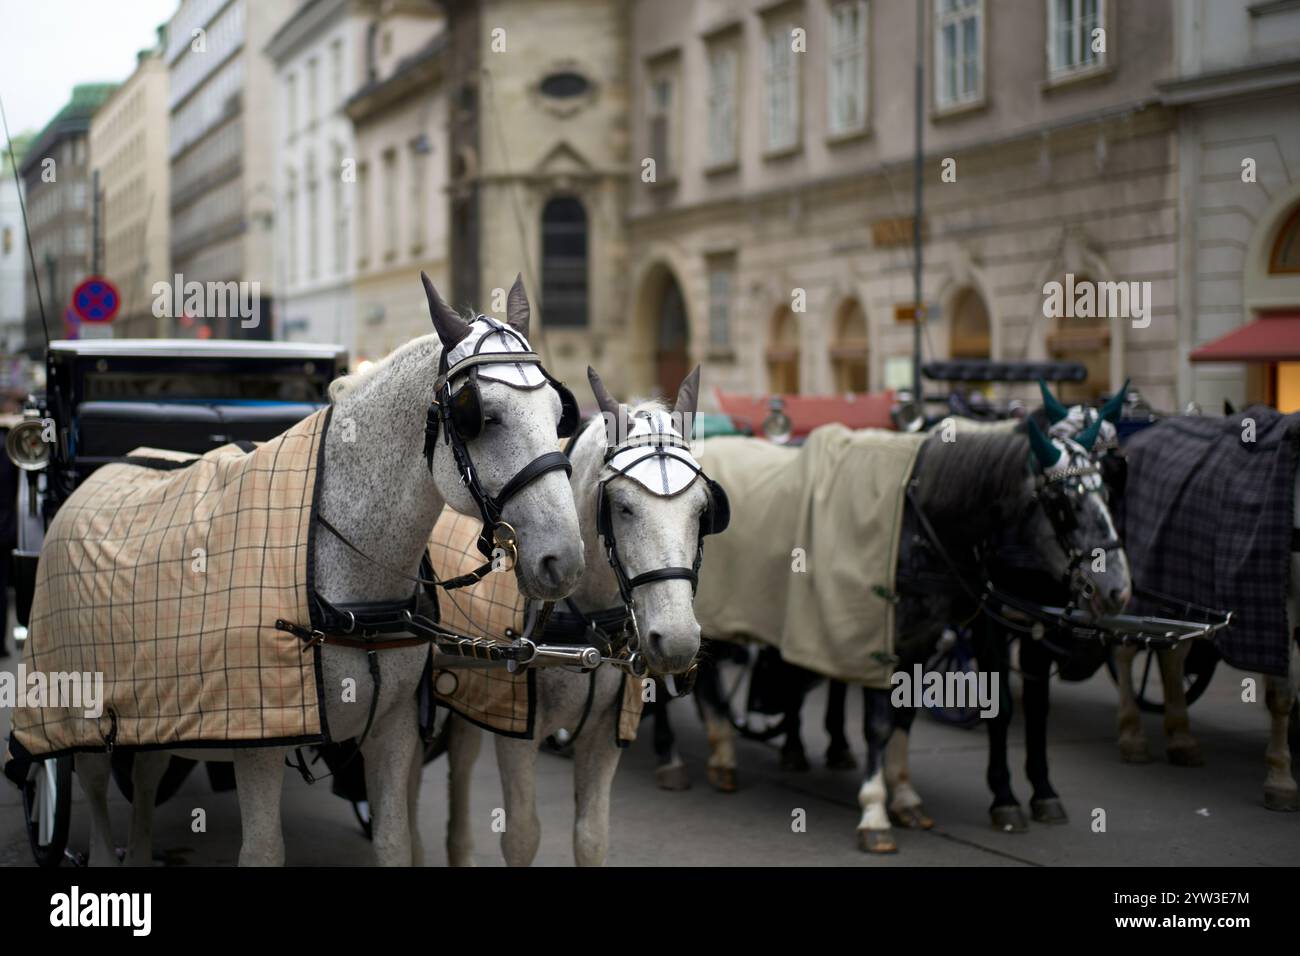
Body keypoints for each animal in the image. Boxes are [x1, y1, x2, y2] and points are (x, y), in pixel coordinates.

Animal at [70, 273, 586, 865]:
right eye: (482, 416)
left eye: (559, 412)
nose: (565, 558)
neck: (353, 594)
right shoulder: (260, 737)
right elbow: (264, 850)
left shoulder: (392, 730)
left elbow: (392, 839)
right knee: (92, 779)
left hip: (157, 707)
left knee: (148, 769)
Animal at [442, 367, 723, 865]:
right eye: (622, 506)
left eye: (702, 510)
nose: (677, 640)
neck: (584, 630)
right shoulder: (514, 729)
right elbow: (522, 836)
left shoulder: (605, 735)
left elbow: (592, 838)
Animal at [661, 417, 1131, 852]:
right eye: (1061, 503)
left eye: (1109, 492)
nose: (1117, 589)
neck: (914, 523)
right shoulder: (874, 641)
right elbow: (877, 724)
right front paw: (874, 810)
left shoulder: (919, 644)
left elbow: (903, 718)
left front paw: (904, 795)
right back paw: (684, 757)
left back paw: (723, 747)